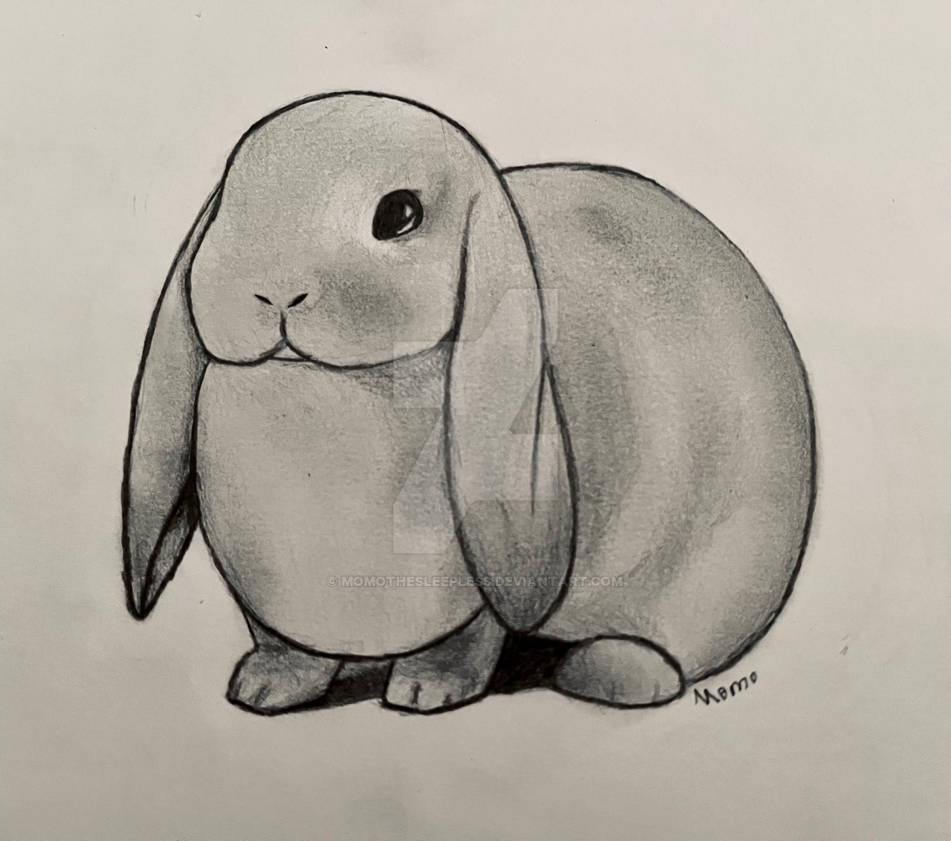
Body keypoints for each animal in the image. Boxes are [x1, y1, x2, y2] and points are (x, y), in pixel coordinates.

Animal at [123, 92, 815, 714]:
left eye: (399, 214)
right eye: (228, 203)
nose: (276, 292)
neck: (328, 391)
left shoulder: (480, 587)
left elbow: (469, 637)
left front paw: (429, 690)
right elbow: (286, 645)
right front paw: (266, 686)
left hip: (723, 572)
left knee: (671, 646)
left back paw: (610, 674)